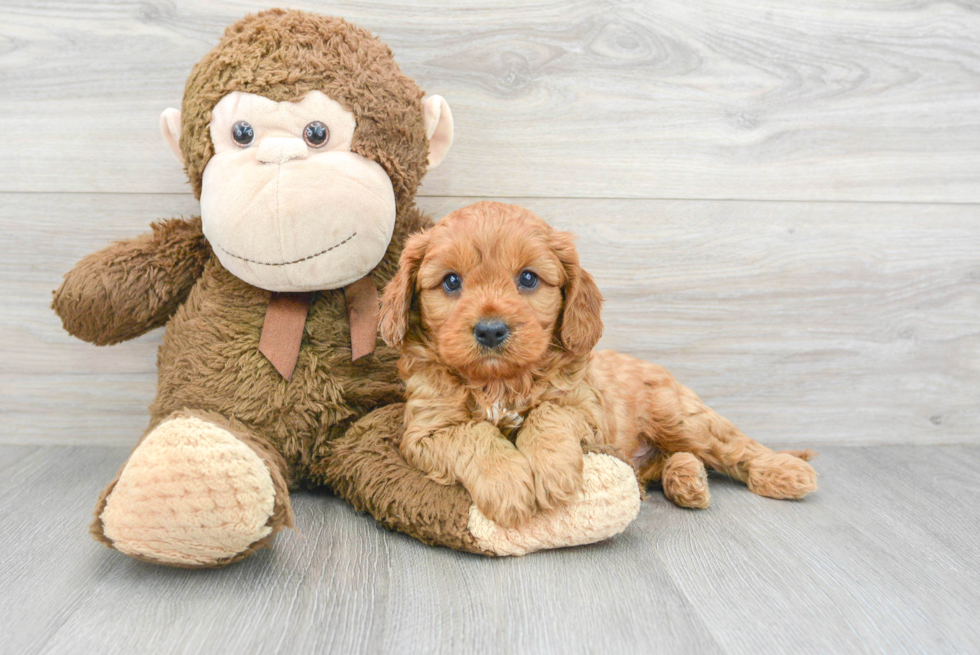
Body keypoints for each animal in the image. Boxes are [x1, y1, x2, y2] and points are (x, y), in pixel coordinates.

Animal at [378, 200, 816, 528]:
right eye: (451, 282)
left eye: (528, 278)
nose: (490, 330)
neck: (500, 382)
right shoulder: (426, 430)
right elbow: (473, 434)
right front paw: (508, 484)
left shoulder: (586, 408)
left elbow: (549, 413)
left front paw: (553, 471)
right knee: (675, 460)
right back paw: (686, 480)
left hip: (682, 419)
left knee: (737, 446)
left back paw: (786, 472)